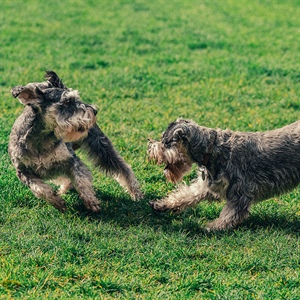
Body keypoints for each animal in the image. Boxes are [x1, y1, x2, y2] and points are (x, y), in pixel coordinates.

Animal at [8, 71, 142, 212]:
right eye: (67, 101)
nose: (94, 110)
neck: (40, 140)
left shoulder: (71, 160)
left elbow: (80, 179)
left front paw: (91, 201)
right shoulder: (23, 172)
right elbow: (40, 189)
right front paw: (58, 202)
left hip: (101, 146)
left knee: (123, 168)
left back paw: (136, 193)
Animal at [148, 117, 300, 230]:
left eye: (165, 142)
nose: (149, 146)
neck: (212, 149)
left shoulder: (240, 191)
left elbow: (231, 213)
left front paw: (214, 226)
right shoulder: (208, 186)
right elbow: (186, 194)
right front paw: (163, 204)